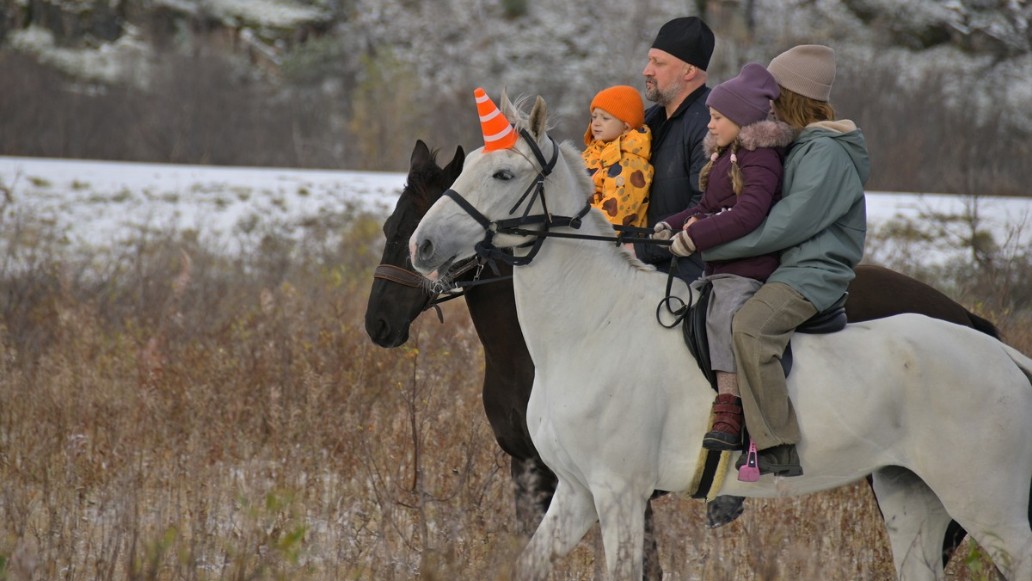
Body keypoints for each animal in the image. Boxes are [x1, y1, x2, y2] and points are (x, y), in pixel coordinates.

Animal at [406, 93, 1027, 577]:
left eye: (503, 174)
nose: (422, 246)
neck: (592, 327)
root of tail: (1000, 353)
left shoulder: (620, 494)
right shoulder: (575, 494)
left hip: (988, 507)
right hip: (911, 497)